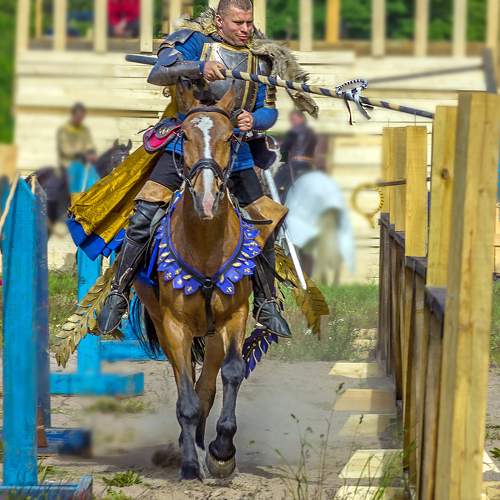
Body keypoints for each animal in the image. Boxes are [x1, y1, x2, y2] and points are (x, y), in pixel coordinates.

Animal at [134, 86, 255, 481]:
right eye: (184, 136)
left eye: (230, 137)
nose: (206, 197)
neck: (204, 246)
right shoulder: (174, 325)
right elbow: (185, 398)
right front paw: (189, 464)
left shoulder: (235, 316)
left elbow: (232, 373)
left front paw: (222, 451)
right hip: (165, 326)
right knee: (184, 382)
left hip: (214, 333)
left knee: (207, 385)